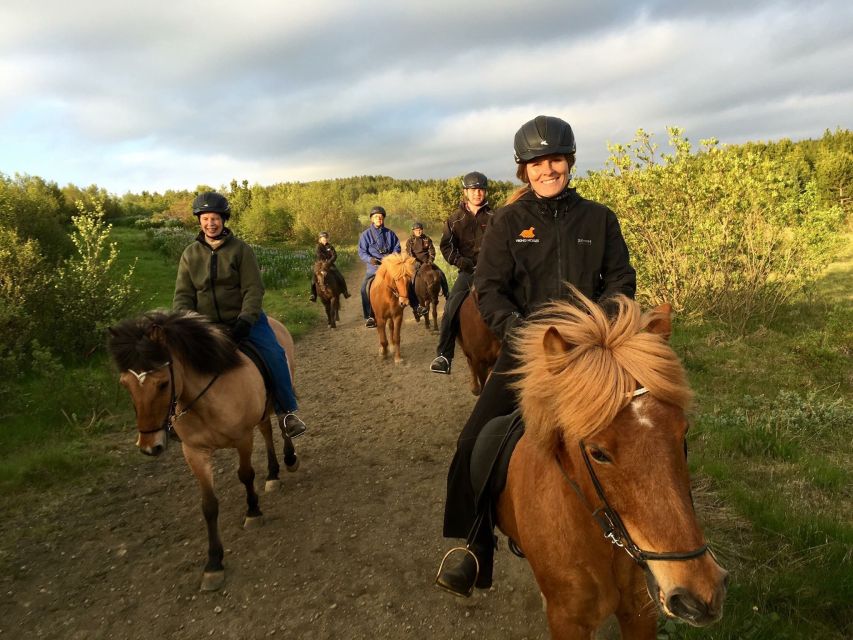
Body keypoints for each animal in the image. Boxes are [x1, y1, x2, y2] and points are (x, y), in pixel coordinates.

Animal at [106, 310, 300, 592]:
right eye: (124, 384)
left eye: (163, 384)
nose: (150, 446)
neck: (205, 398)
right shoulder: (194, 452)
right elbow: (208, 505)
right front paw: (213, 564)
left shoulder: (242, 438)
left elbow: (246, 475)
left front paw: (253, 512)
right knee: (265, 429)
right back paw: (273, 474)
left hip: (280, 389)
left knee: (283, 423)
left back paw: (289, 458)